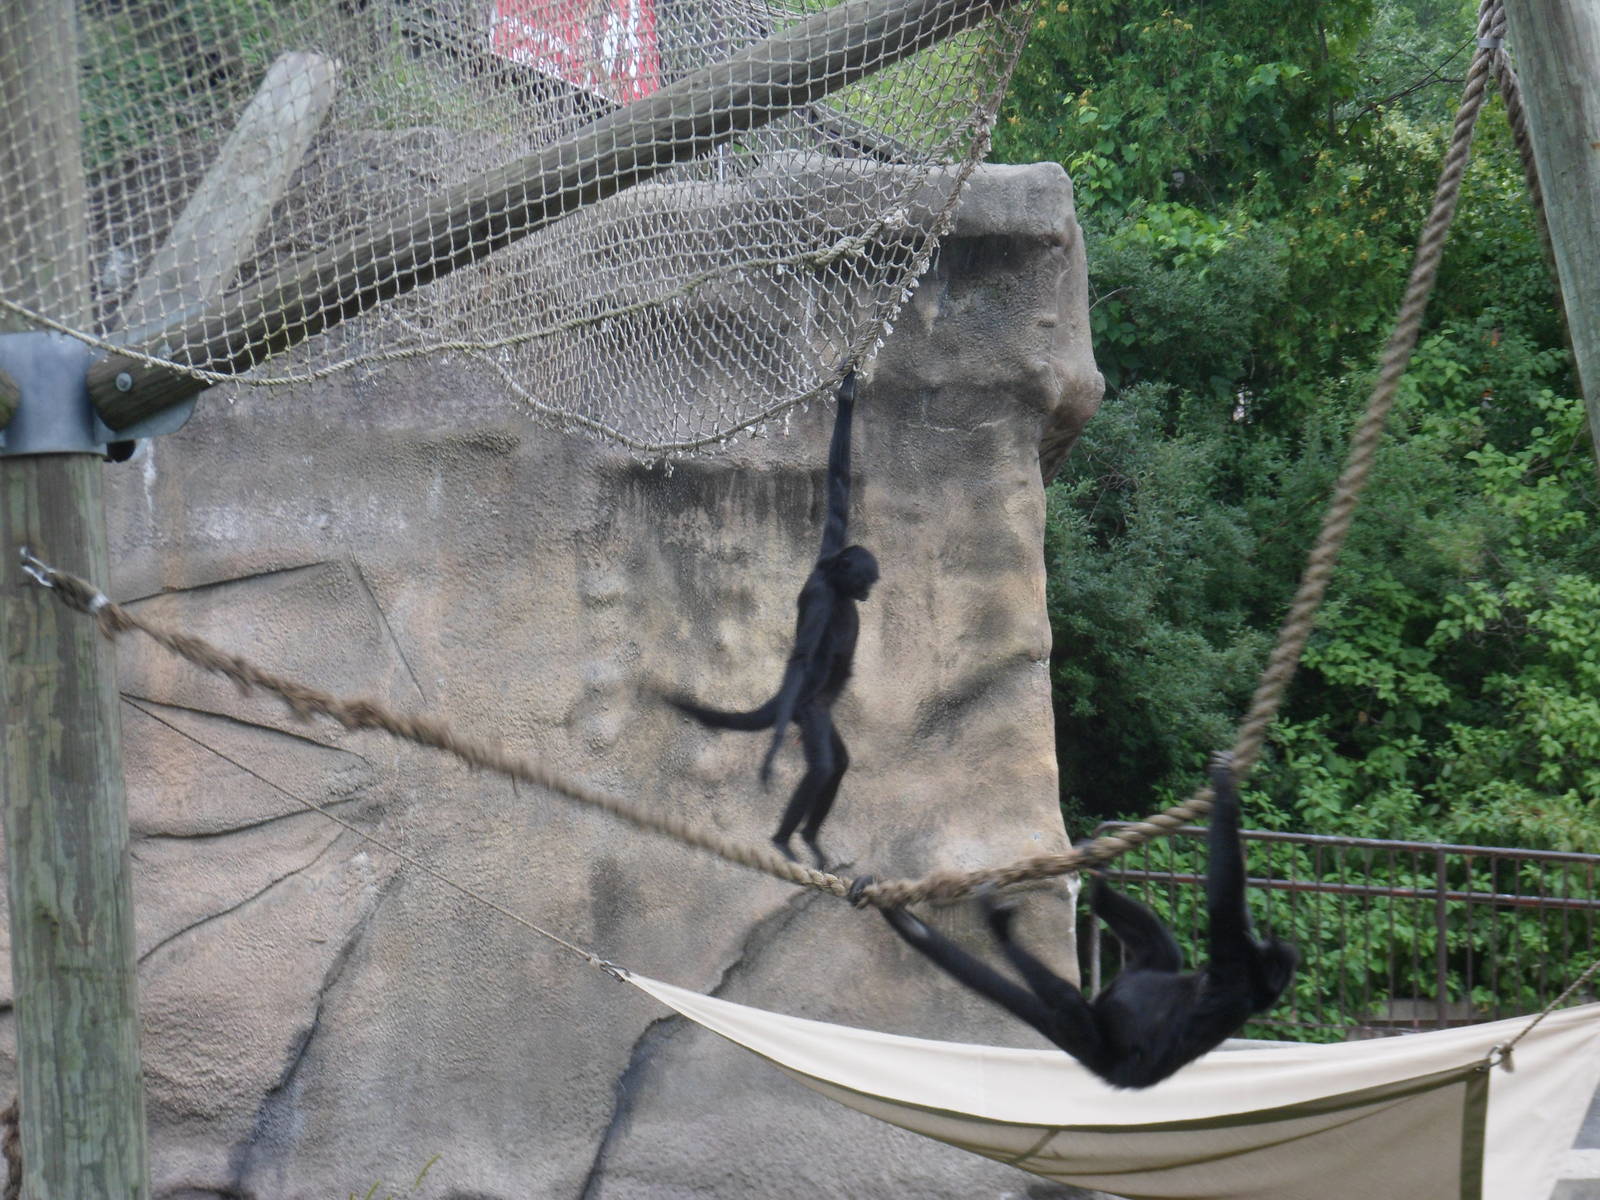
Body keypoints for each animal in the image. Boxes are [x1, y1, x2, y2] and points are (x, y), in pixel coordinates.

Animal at [664, 371, 878, 867]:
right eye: (866, 579)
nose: (870, 590)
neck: (831, 579)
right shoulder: (819, 598)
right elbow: (800, 656)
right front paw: (771, 756)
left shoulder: (830, 543)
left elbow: (838, 485)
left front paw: (847, 393)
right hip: (807, 708)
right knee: (822, 765)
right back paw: (784, 840)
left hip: (817, 709)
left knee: (838, 763)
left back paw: (810, 839)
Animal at [856, 752, 1298, 1088]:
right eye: (1269, 947)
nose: (1265, 942)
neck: (1254, 987)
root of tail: (1111, 1071)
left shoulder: (1236, 964)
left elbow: (1224, 902)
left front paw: (1225, 791)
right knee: (1163, 951)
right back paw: (1096, 886)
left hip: (1092, 1039)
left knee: (1066, 1000)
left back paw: (999, 931)